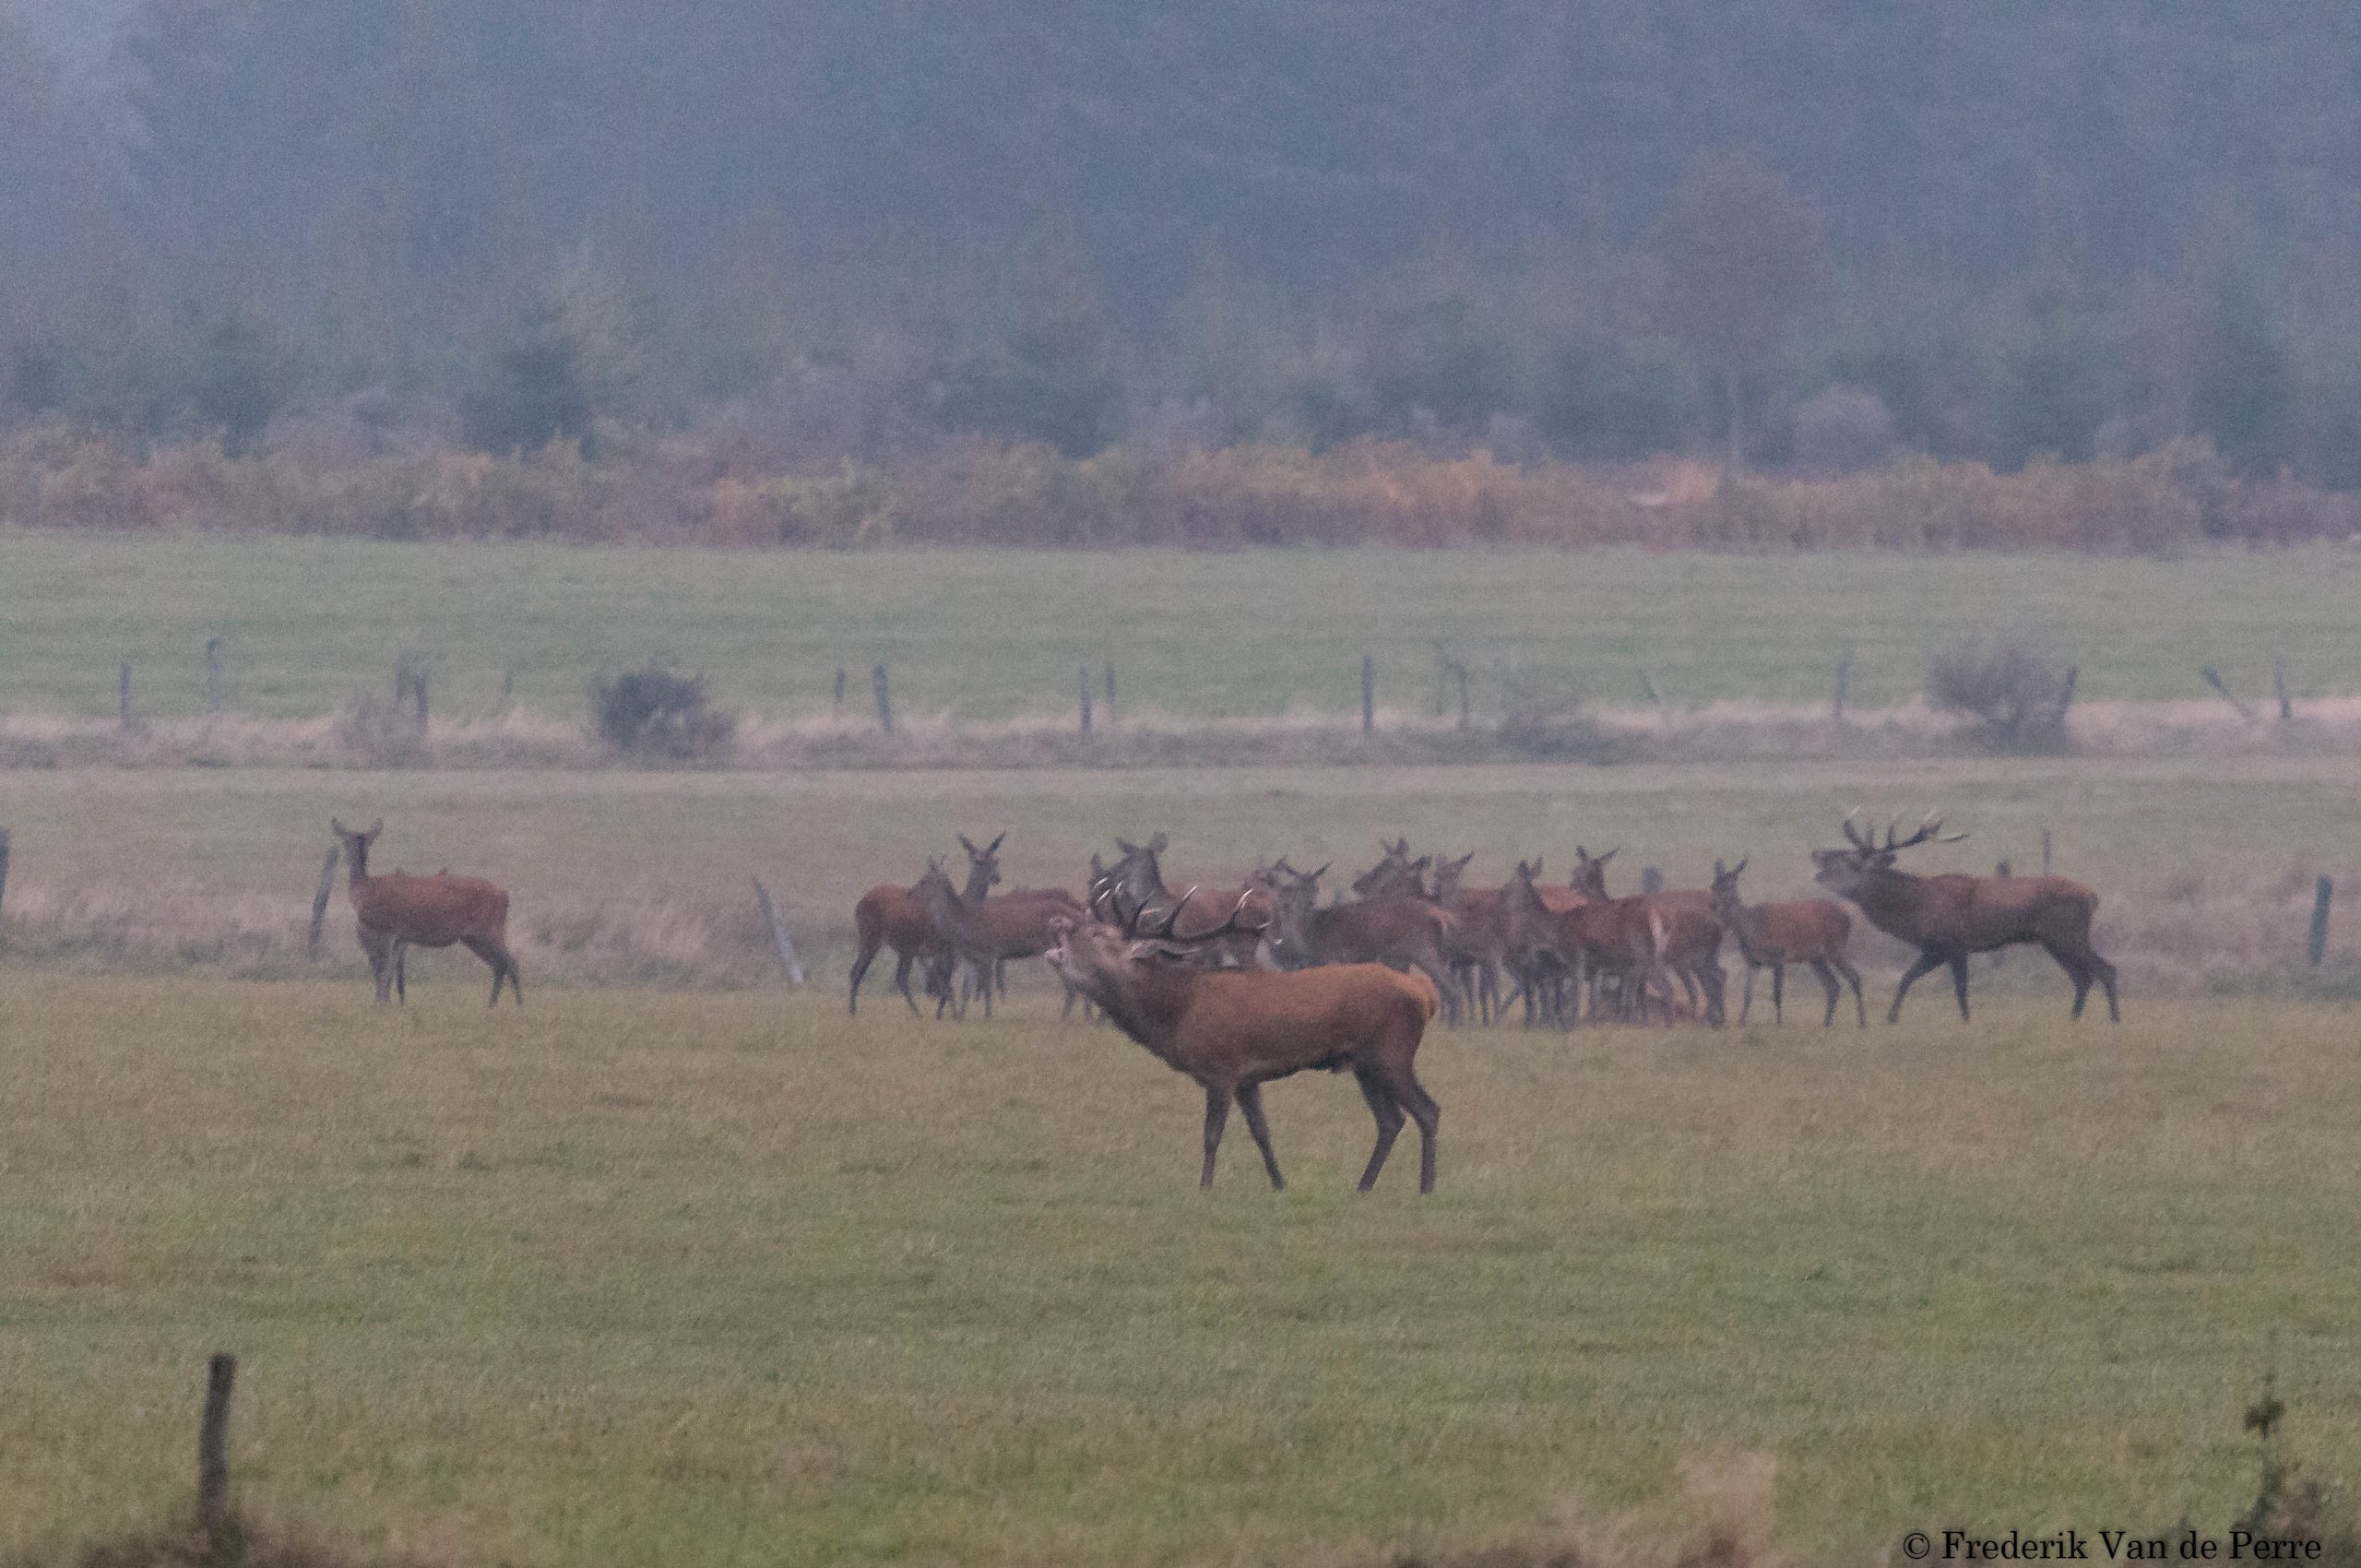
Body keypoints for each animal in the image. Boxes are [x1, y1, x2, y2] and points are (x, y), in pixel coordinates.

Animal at [327, 821, 516, 1005]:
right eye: (346, 842)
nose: (347, 857)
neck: (363, 890)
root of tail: (504, 895)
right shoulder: (398, 937)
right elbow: (390, 970)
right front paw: (390, 1001)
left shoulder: (383, 929)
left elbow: (382, 970)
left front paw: (382, 1002)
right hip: (475, 936)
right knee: (500, 964)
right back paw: (497, 1004)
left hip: (488, 929)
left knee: (508, 961)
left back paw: (511, 1004)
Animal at [1048, 887, 1435, 1194]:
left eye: (1097, 935)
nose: (1057, 928)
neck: (1179, 1014)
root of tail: (1424, 993)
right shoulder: (1248, 1078)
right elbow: (1262, 1132)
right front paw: (1279, 1183)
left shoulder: (1221, 1068)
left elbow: (1211, 1134)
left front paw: (1205, 1187)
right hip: (1363, 1064)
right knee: (1391, 1120)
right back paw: (1364, 1186)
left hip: (1392, 1052)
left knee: (1427, 1110)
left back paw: (1426, 1187)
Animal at [1275, 864, 1453, 1025]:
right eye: (1298, 888)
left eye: (1315, 887)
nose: (1309, 901)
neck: (1313, 934)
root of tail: (1442, 919)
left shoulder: (1334, 956)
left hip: (1421, 947)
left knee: (1447, 979)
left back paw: (1452, 1022)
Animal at [1709, 859, 1869, 1029]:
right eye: (1713, 886)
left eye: (1728, 886)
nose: (1713, 905)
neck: (1752, 931)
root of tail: (1847, 918)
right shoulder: (1752, 961)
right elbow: (1747, 994)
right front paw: (1741, 1023)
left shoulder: (1779, 955)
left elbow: (1777, 994)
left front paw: (1779, 1023)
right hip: (1815, 958)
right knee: (1833, 985)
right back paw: (1826, 1022)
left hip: (1836, 947)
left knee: (1854, 977)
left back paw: (1862, 1022)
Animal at [1803, 807, 2125, 1029]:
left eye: (1848, 859)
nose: (1815, 852)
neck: (1915, 911)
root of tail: (2092, 896)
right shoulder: (1933, 949)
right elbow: (1907, 978)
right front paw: (1891, 1018)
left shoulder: (1955, 944)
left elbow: (1960, 988)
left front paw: (1966, 1022)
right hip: (2052, 940)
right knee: (2082, 977)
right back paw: (2073, 1019)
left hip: (2067, 933)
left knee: (2104, 970)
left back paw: (2114, 1019)